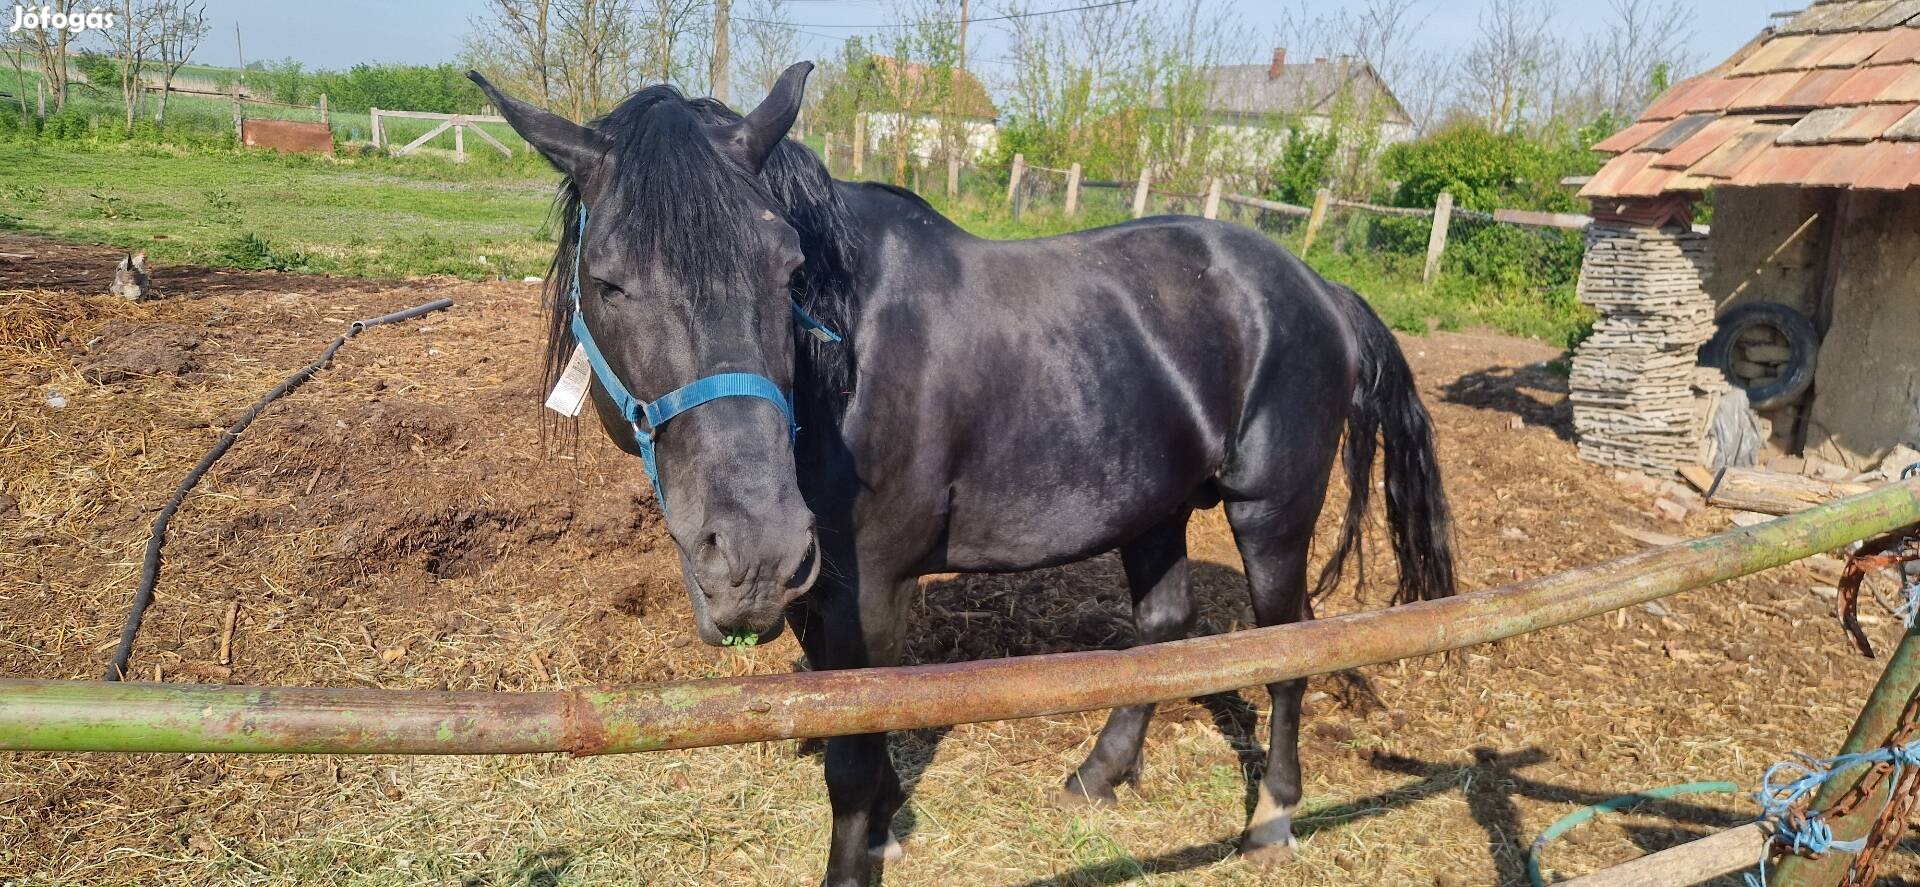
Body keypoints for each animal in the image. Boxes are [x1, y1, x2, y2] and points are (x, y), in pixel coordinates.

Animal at [472, 62, 1443, 887]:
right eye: (608, 281)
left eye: (787, 270)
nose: (752, 552)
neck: (843, 364)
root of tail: (1318, 287)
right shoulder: (821, 594)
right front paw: (888, 824)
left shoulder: (869, 587)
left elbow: (854, 755)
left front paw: (860, 851)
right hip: (1153, 507)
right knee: (1164, 631)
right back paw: (1099, 773)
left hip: (1272, 511)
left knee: (1289, 651)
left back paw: (1273, 816)